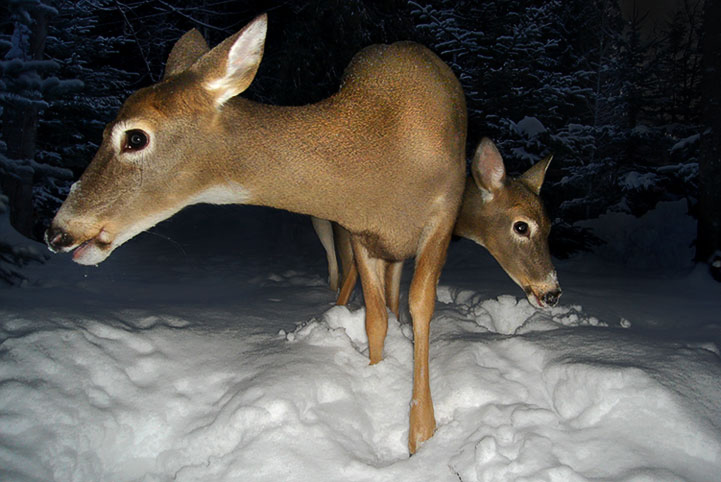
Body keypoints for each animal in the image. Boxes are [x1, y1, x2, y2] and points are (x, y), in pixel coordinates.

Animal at [43, 14, 466, 452]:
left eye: (135, 137)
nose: (57, 232)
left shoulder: (445, 209)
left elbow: (421, 304)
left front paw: (422, 435)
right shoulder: (359, 231)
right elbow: (375, 318)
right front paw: (376, 378)